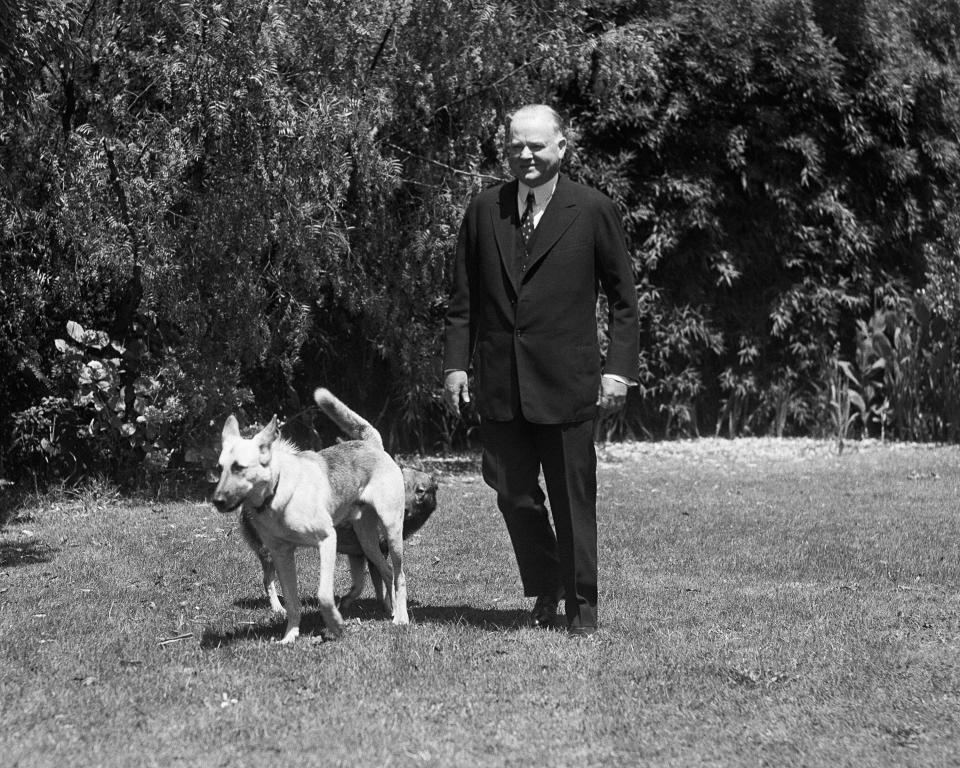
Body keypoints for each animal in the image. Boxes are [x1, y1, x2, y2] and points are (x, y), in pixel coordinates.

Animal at [212, 388, 406, 644]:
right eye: (220, 468)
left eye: (239, 467)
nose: (216, 501)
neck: (278, 493)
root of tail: (372, 444)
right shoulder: (281, 554)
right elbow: (292, 602)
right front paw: (289, 636)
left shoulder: (327, 540)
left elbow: (323, 594)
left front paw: (335, 624)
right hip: (367, 541)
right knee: (387, 571)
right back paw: (390, 610)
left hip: (392, 533)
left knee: (400, 575)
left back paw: (401, 618)